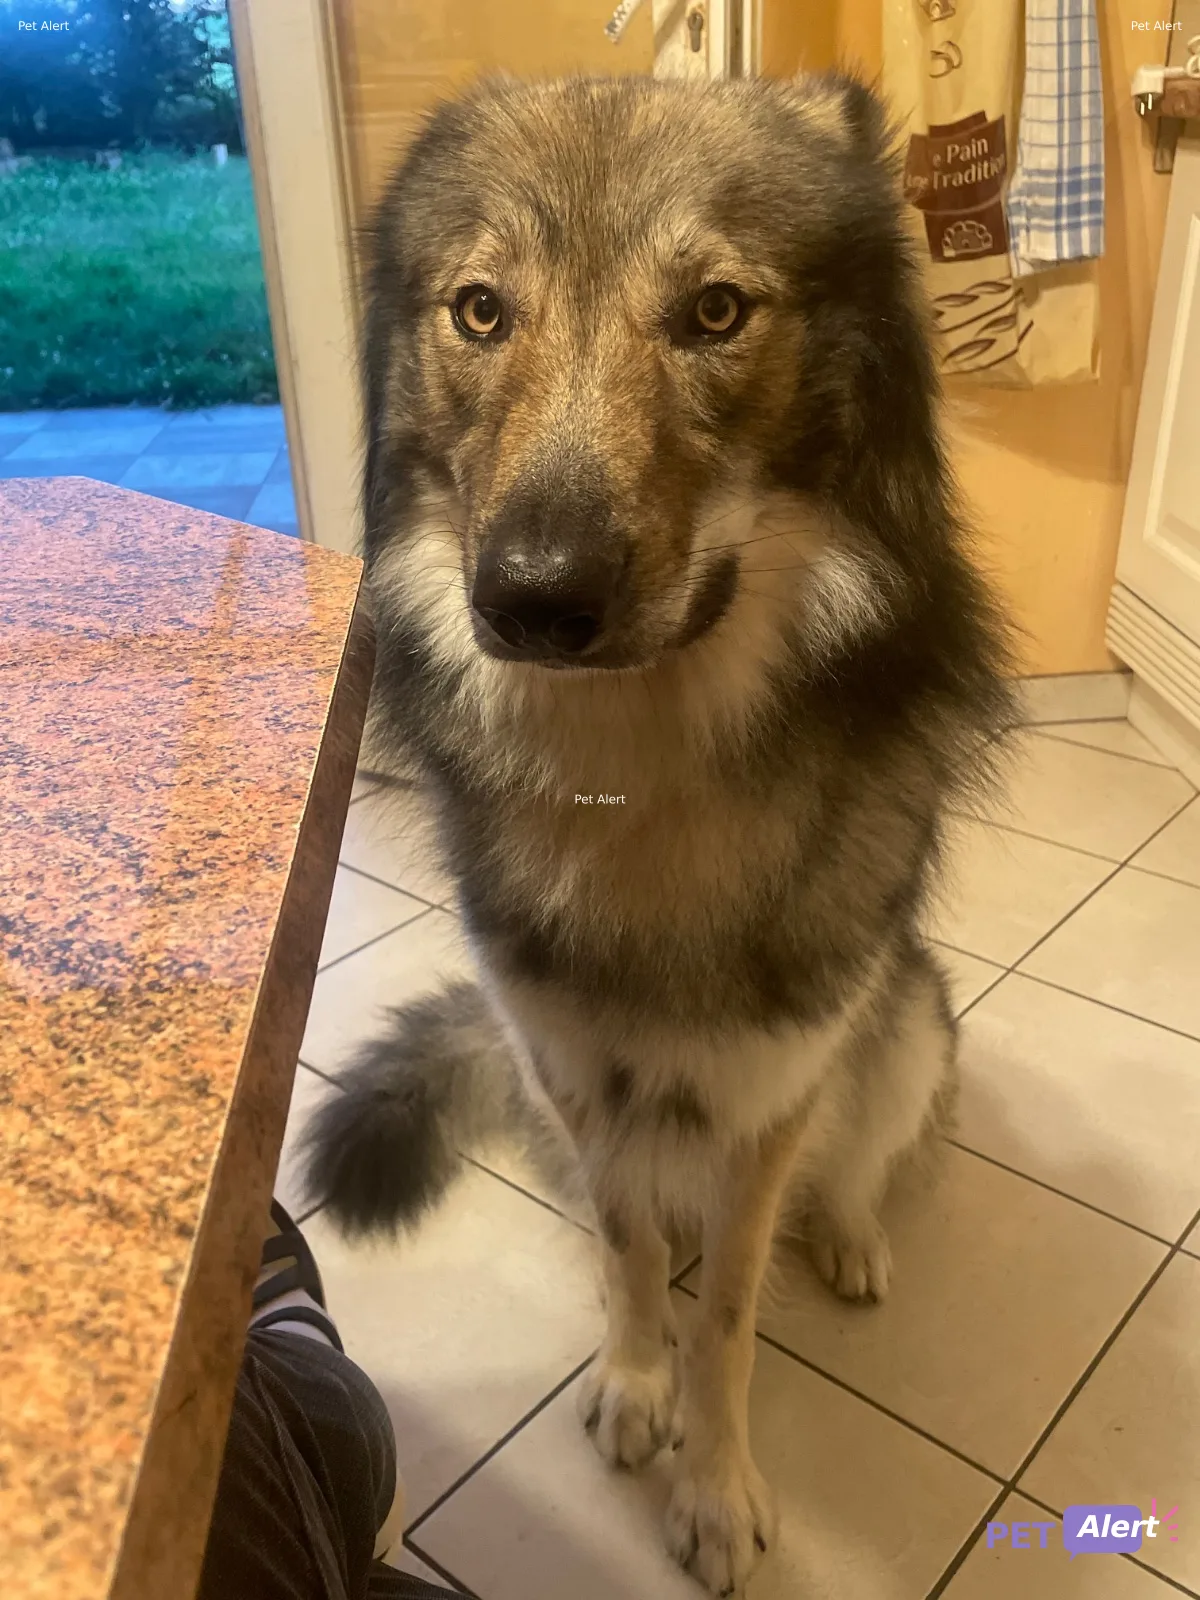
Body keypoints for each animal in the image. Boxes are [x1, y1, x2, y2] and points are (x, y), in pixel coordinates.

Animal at [302, 72, 1012, 1595]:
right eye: (481, 311)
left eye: (716, 312)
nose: (531, 598)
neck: (636, 782)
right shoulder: (579, 1077)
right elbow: (635, 1257)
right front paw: (636, 1389)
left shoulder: (769, 1108)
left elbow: (730, 1313)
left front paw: (717, 1489)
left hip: (909, 1024)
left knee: (866, 1158)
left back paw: (853, 1239)